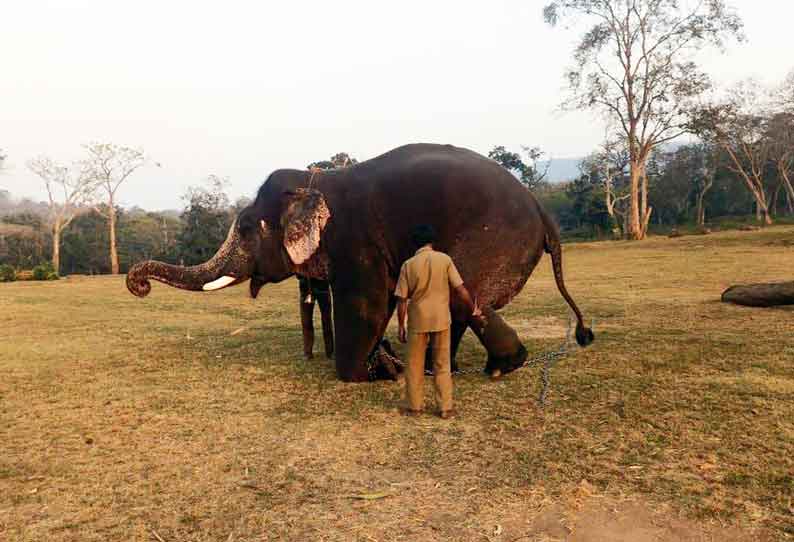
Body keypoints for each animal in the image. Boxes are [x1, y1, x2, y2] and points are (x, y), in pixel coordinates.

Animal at [127, 143, 592, 382]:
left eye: (244, 228)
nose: (139, 285)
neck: (314, 181)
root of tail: (541, 209)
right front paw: (384, 363)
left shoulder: (355, 240)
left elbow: (369, 303)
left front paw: (365, 373)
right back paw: (450, 368)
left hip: (493, 238)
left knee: (464, 296)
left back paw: (499, 367)